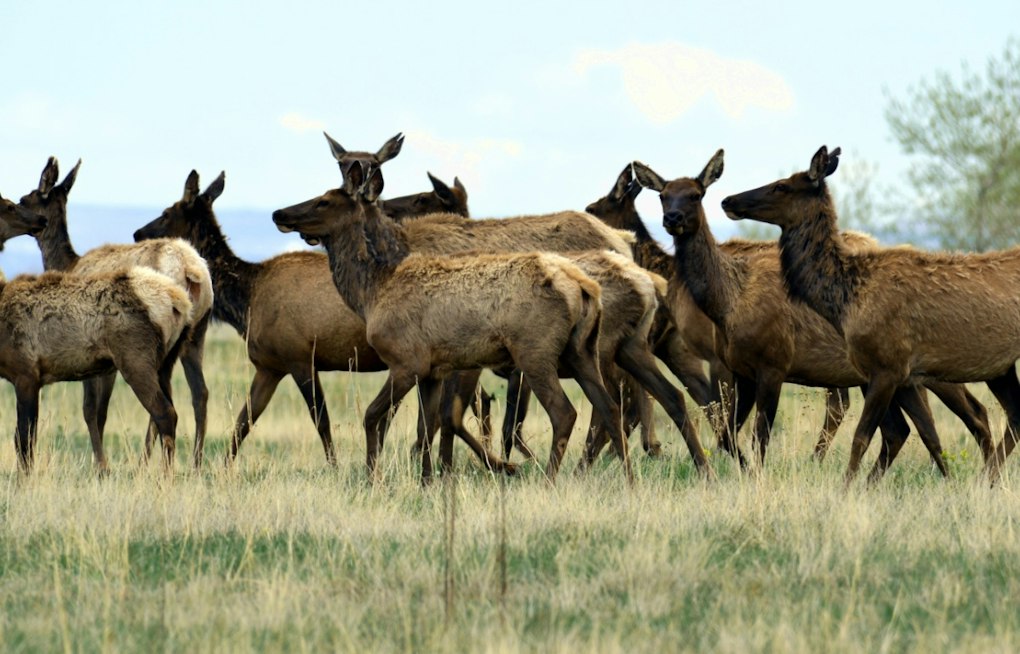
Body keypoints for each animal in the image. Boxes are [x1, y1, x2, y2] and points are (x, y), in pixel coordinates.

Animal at [722, 145, 1019, 484]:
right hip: (1001, 368)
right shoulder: (902, 374)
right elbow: (923, 434)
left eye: (781, 186)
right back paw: (987, 480)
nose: (728, 200)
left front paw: (846, 489)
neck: (846, 301)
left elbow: (862, 437)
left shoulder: (887, 367)